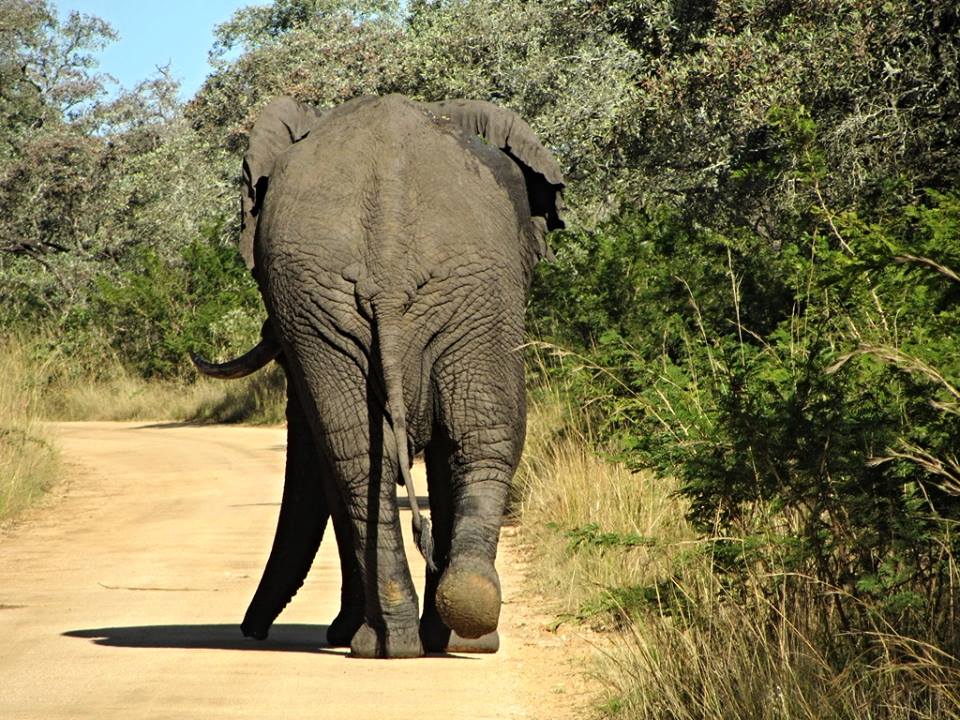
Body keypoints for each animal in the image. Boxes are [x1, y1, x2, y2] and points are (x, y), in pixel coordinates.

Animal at [192, 93, 565, 658]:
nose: (251, 631)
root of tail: (388, 273)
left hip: (453, 293)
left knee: (419, 447)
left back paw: (430, 629)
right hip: (385, 298)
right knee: (442, 444)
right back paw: (416, 636)